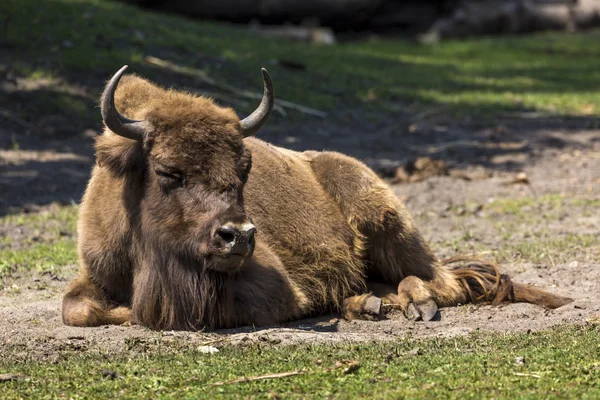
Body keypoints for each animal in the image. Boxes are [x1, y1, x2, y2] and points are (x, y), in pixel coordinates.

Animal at [62, 66, 572, 332]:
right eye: (169, 170)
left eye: (244, 169)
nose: (238, 236)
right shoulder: (95, 271)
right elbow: (78, 308)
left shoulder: (273, 287)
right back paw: (368, 305)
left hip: (384, 218)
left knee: (444, 281)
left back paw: (415, 302)